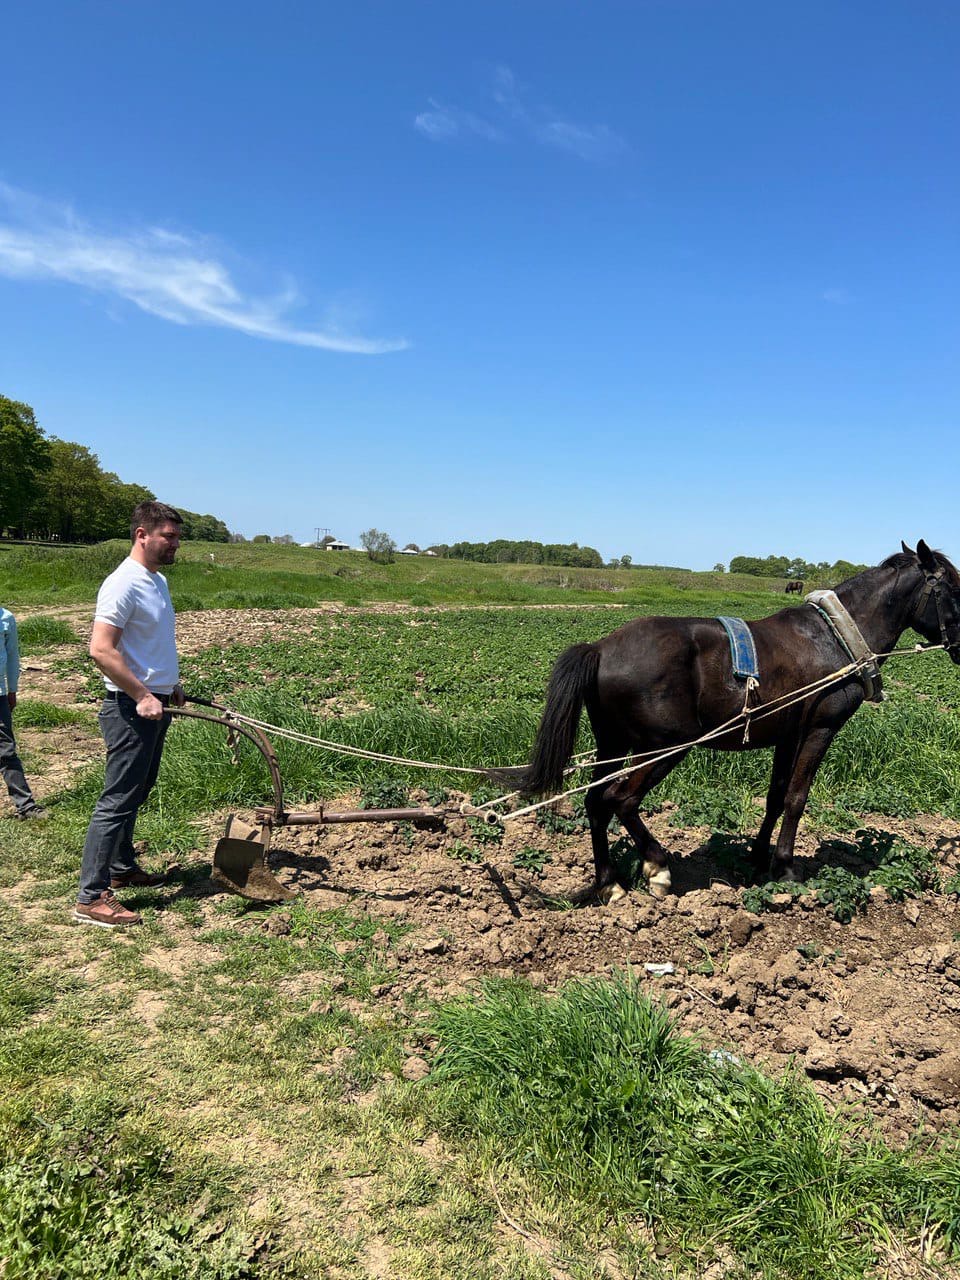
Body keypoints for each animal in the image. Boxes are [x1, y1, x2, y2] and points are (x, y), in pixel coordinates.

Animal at [499, 540, 960, 901]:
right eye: (954, 590)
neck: (834, 639)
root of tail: (600, 648)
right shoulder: (820, 729)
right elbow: (797, 797)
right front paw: (787, 868)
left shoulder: (787, 734)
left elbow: (776, 796)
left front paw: (759, 858)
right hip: (664, 746)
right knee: (621, 799)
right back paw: (657, 866)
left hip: (613, 742)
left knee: (596, 802)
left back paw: (609, 882)